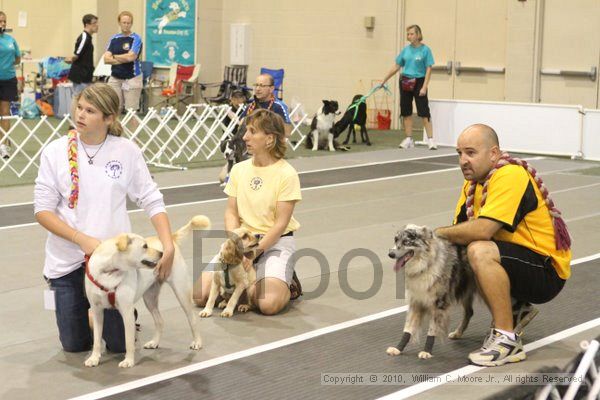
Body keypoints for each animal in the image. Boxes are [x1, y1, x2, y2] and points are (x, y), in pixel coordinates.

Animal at [84, 214, 211, 368]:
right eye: (144, 246)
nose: (162, 253)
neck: (107, 271)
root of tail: (171, 239)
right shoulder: (96, 311)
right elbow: (97, 340)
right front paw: (94, 358)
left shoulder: (127, 312)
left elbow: (128, 341)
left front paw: (128, 361)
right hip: (150, 298)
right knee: (160, 321)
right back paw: (154, 342)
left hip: (181, 292)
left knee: (192, 319)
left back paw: (197, 342)